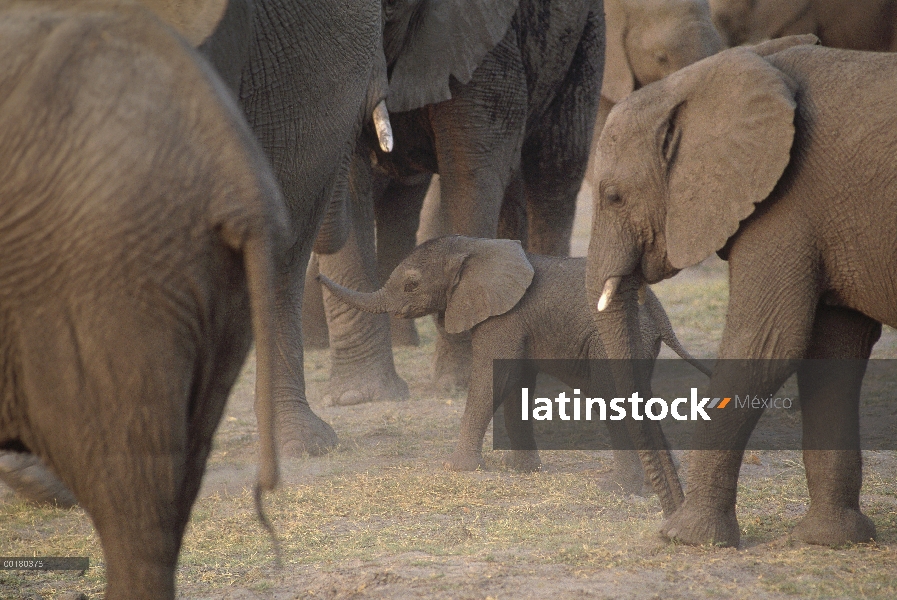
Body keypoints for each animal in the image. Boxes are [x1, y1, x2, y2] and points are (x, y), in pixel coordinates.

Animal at [310, 0, 608, 404]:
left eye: (386, 11)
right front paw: (355, 397)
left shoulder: (483, 39)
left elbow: (471, 171)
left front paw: (459, 384)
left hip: (586, 38)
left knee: (555, 166)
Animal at [318, 237, 696, 512]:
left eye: (411, 285)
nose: (318, 274)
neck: (474, 247)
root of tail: (657, 309)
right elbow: (516, 384)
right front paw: (521, 470)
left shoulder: (504, 317)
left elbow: (493, 379)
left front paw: (457, 469)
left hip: (611, 342)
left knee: (613, 398)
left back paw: (616, 488)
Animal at [588, 34, 896, 548]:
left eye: (612, 196)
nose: (663, 512)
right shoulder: (828, 224)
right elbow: (832, 352)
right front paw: (829, 540)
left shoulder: (787, 204)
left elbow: (765, 344)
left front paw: (687, 538)